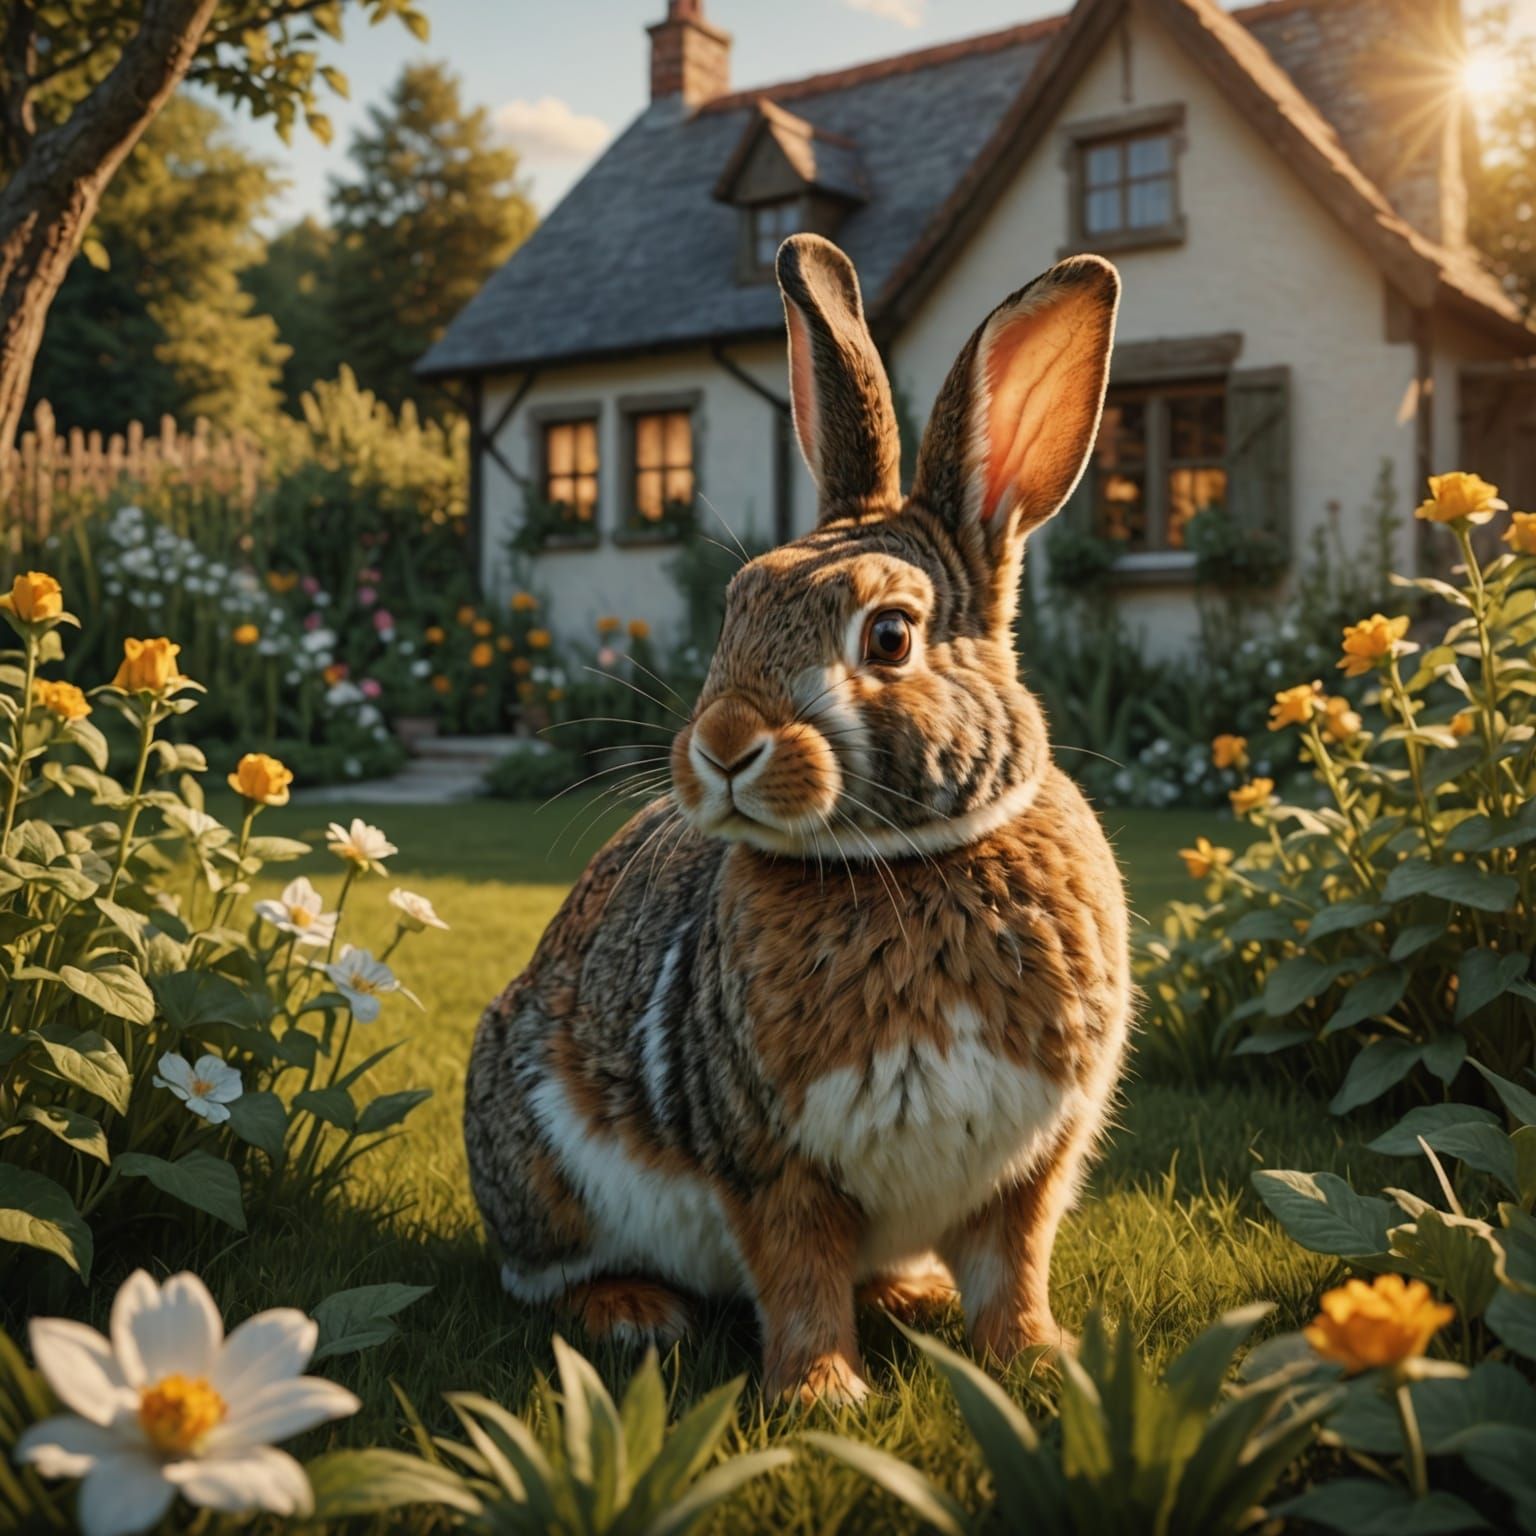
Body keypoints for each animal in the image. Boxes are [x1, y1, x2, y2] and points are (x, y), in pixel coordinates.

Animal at [464, 233, 1132, 1406]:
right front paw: (824, 1393)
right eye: (734, 607)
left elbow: (1014, 1264)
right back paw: (633, 1312)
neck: (903, 862)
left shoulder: (1028, 1162)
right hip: (542, 1173)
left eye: (891, 636)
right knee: (539, 1276)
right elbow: (800, 1273)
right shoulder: (771, 1159)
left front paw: (1039, 1365)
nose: (723, 746)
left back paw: (911, 1294)